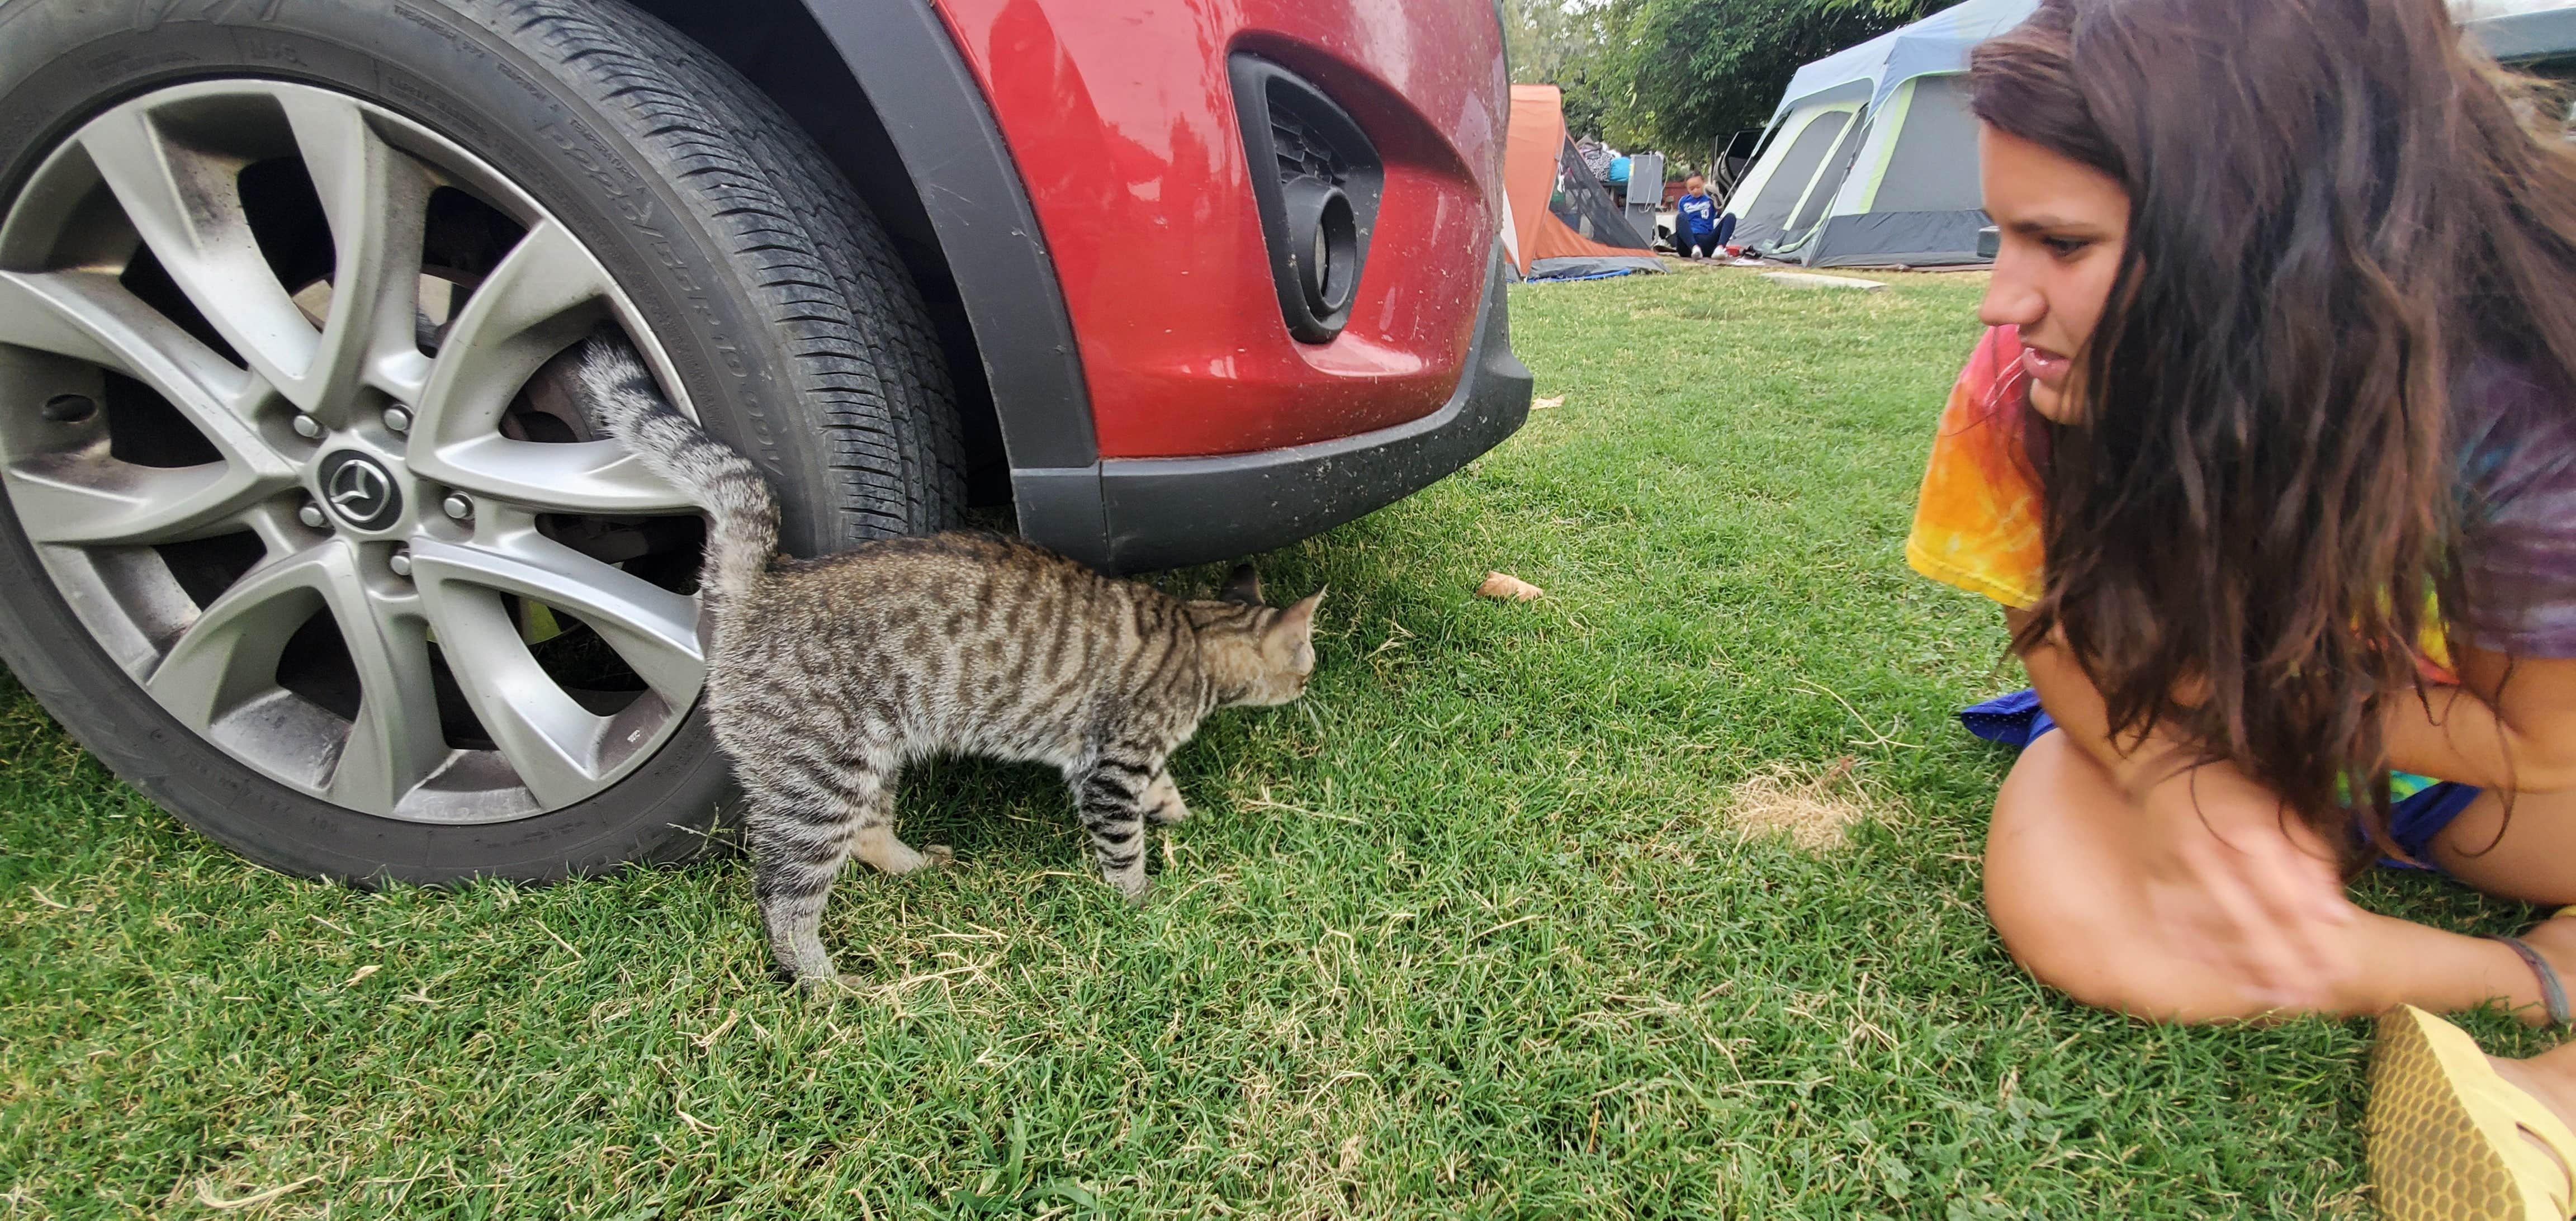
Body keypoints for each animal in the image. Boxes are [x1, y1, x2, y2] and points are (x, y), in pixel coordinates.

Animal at [571, 334, 1319, 984]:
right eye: (1307, 660)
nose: (1311, 683)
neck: (1195, 633)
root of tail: (766, 580)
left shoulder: (1127, 759)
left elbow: (1160, 791)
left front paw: (1181, 814)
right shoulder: (1109, 767)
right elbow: (1122, 845)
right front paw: (1141, 902)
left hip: (865, 762)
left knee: (866, 835)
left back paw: (915, 868)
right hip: (813, 783)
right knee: (784, 899)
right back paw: (823, 982)